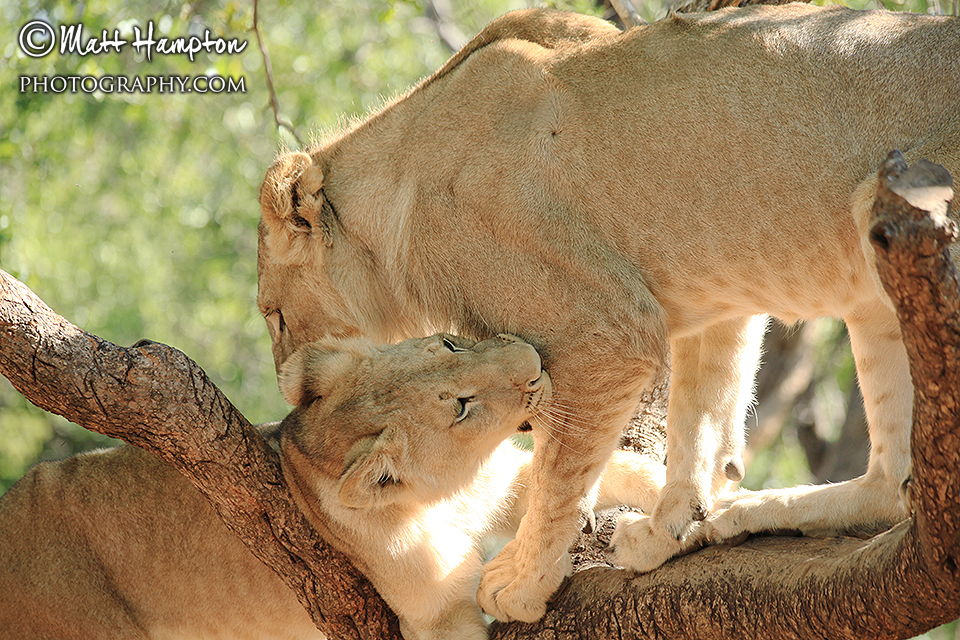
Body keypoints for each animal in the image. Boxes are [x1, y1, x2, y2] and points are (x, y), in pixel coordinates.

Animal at [0, 333, 665, 640]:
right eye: (461, 407)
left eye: (450, 342)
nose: (533, 360)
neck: (448, 494)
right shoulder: (435, 618)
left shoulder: (505, 482)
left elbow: (622, 470)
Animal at [256, 4, 960, 623]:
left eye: (275, 316)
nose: (288, 385)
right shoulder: (716, 301)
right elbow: (700, 420)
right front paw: (674, 526)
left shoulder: (605, 329)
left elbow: (559, 474)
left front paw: (522, 584)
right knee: (891, 483)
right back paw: (744, 513)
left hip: (891, 208)